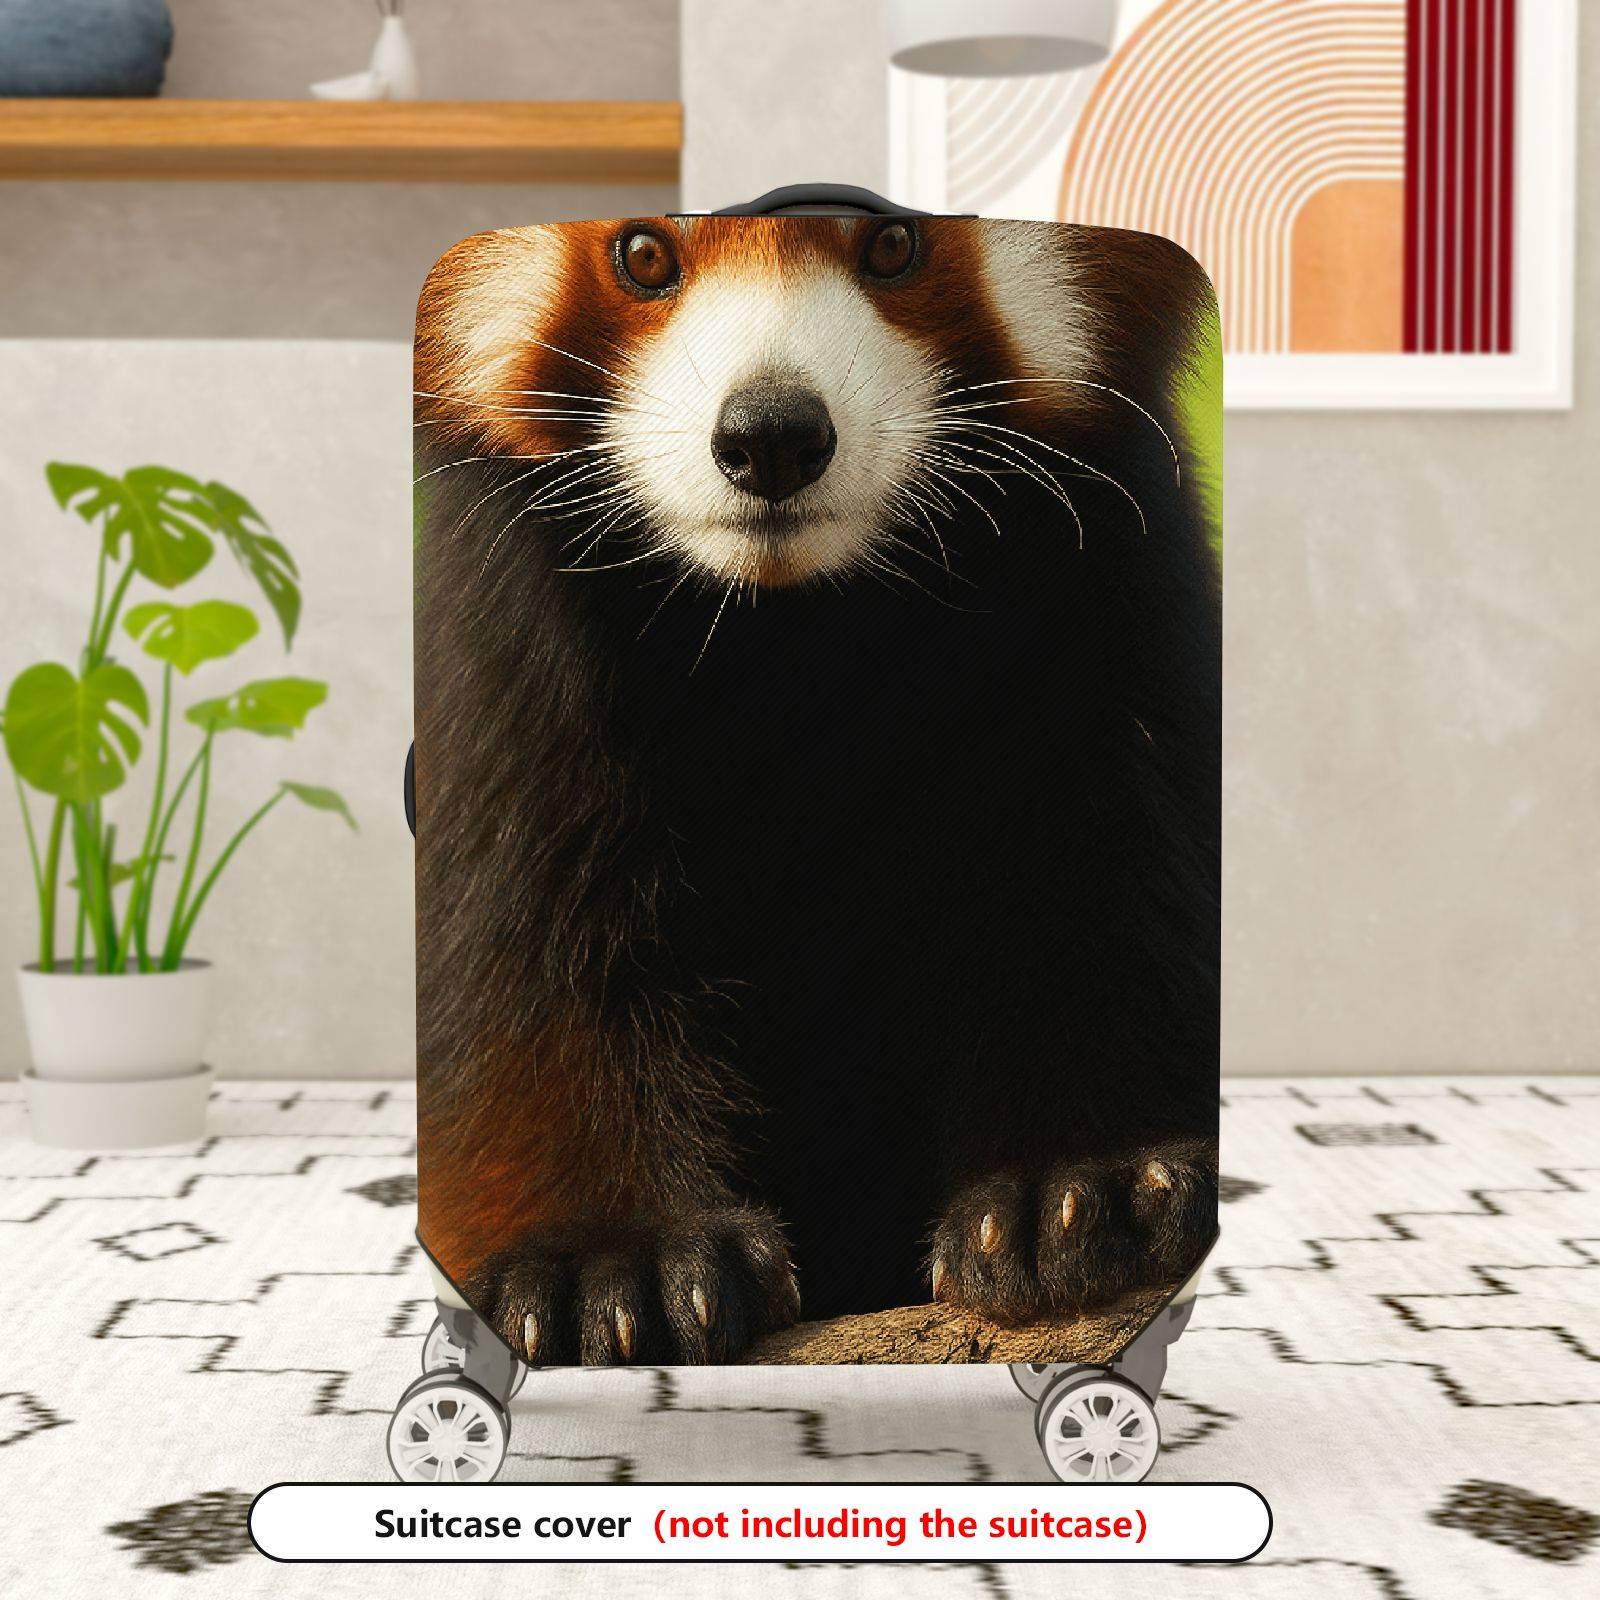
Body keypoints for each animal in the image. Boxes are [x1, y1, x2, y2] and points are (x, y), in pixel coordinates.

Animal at [411, 210, 1221, 1366]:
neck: (790, 628)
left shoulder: (1096, 593)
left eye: (894, 245)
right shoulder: (509, 634)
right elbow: (530, 942)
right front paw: (606, 1257)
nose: (772, 436)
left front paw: (1085, 1189)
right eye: (642, 256)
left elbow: (1102, 883)